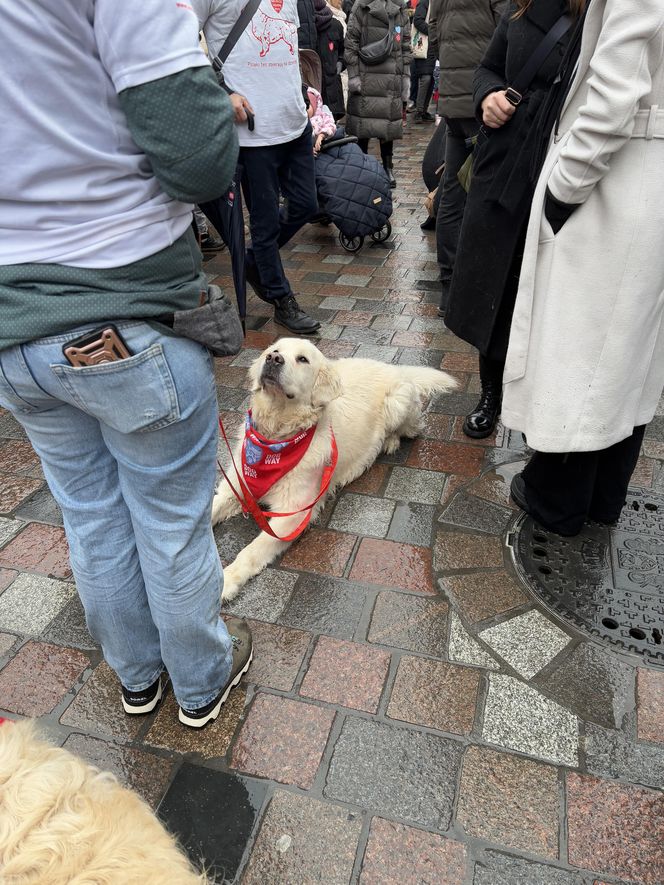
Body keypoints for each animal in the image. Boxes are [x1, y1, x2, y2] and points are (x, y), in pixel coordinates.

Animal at [213, 338, 456, 600]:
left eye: (302, 359)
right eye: (273, 351)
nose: (273, 360)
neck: (276, 436)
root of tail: (395, 368)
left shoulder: (295, 513)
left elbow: (252, 549)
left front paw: (227, 580)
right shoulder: (234, 487)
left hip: (398, 403)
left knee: (407, 429)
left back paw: (390, 441)